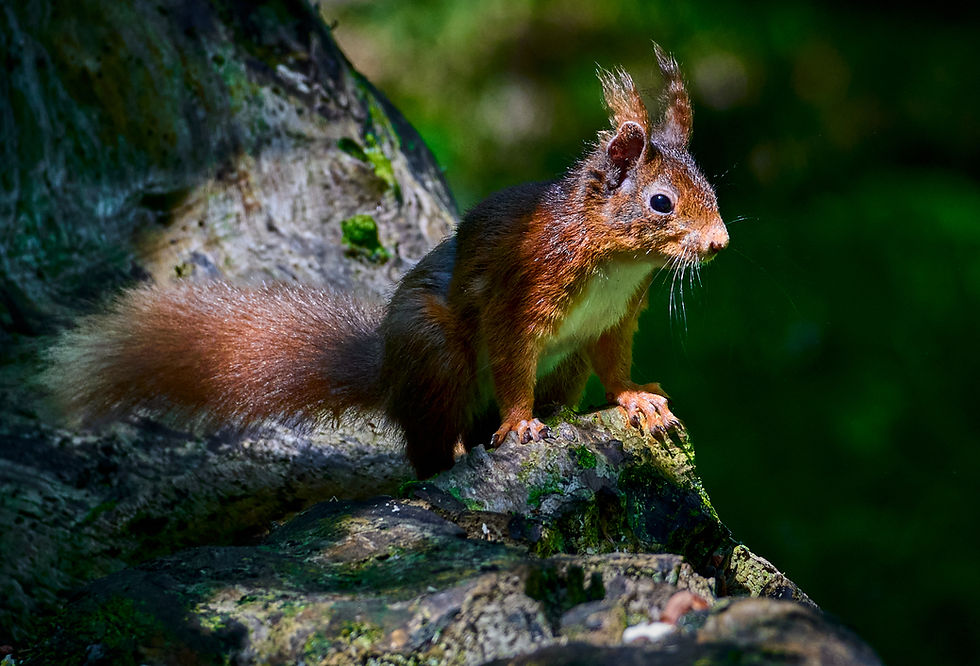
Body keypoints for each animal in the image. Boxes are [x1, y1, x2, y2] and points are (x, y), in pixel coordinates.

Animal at [46, 46, 728, 479]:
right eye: (661, 202)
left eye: (711, 187)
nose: (720, 242)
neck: (614, 261)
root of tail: (390, 375)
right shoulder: (523, 289)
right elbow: (512, 359)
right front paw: (519, 426)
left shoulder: (614, 320)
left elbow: (615, 364)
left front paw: (637, 399)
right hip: (435, 350)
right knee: (428, 449)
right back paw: (462, 452)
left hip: (563, 365)